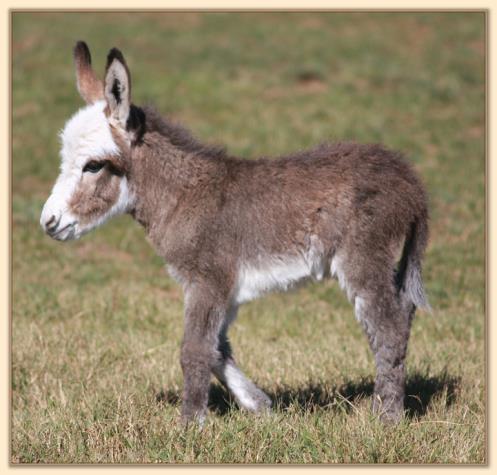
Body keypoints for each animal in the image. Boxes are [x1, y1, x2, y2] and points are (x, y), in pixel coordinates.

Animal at [40, 42, 428, 426]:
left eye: (94, 165)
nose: (49, 222)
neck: (183, 196)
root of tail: (408, 178)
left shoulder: (207, 280)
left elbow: (194, 349)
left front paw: (190, 426)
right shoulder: (226, 290)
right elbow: (217, 349)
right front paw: (262, 406)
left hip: (362, 256)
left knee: (388, 326)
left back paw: (386, 419)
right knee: (403, 313)